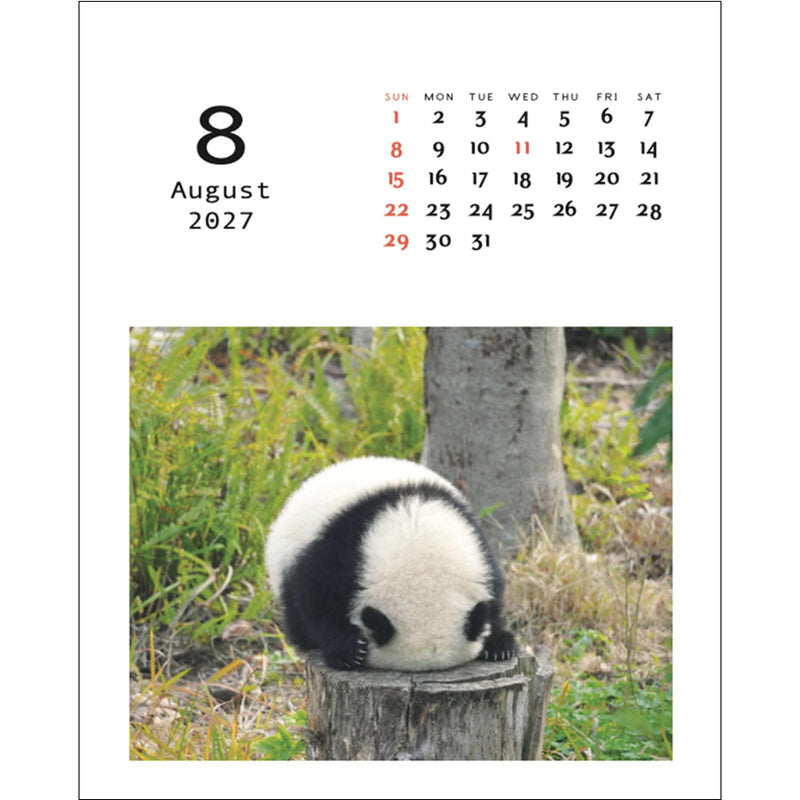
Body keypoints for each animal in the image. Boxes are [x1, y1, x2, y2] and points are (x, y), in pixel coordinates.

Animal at [266, 456, 517, 671]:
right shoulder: (344, 548)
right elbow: (317, 596)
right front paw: (348, 650)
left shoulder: (477, 545)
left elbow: (494, 593)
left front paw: (499, 644)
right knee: (295, 610)